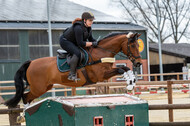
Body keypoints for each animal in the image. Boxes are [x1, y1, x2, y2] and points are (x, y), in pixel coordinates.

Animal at [4, 31, 142, 107]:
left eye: (137, 45)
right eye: (132, 45)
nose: (139, 63)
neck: (101, 52)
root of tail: (31, 62)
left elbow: (125, 68)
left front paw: (131, 82)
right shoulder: (100, 75)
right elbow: (121, 69)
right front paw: (130, 83)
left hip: (45, 87)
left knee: (27, 97)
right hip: (39, 88)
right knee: (25, 97)